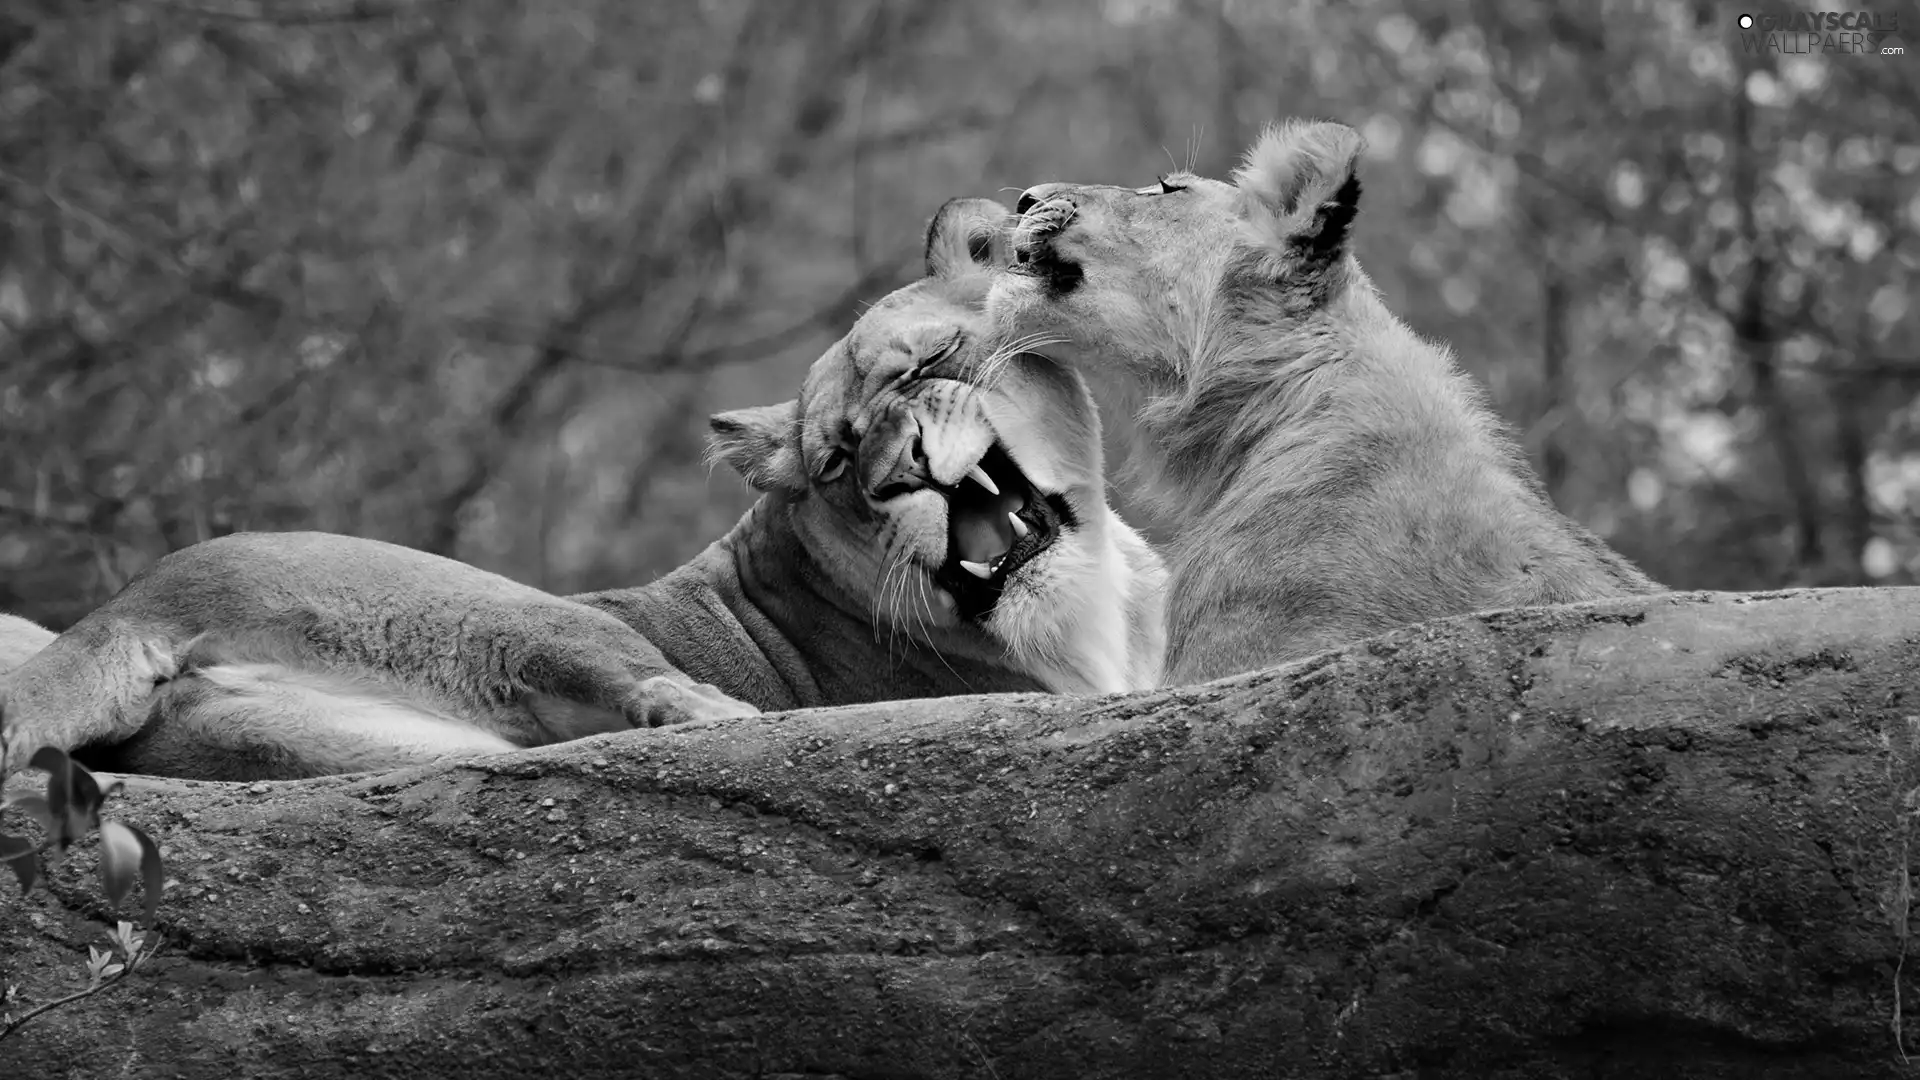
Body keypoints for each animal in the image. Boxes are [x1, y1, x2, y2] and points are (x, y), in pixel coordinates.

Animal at [0, 199, 1159, 772]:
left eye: (923, 368)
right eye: (837, 460)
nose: (894, 472)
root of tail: (138, 601)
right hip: (508, 607)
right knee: (655, 697)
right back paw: (744, 719)